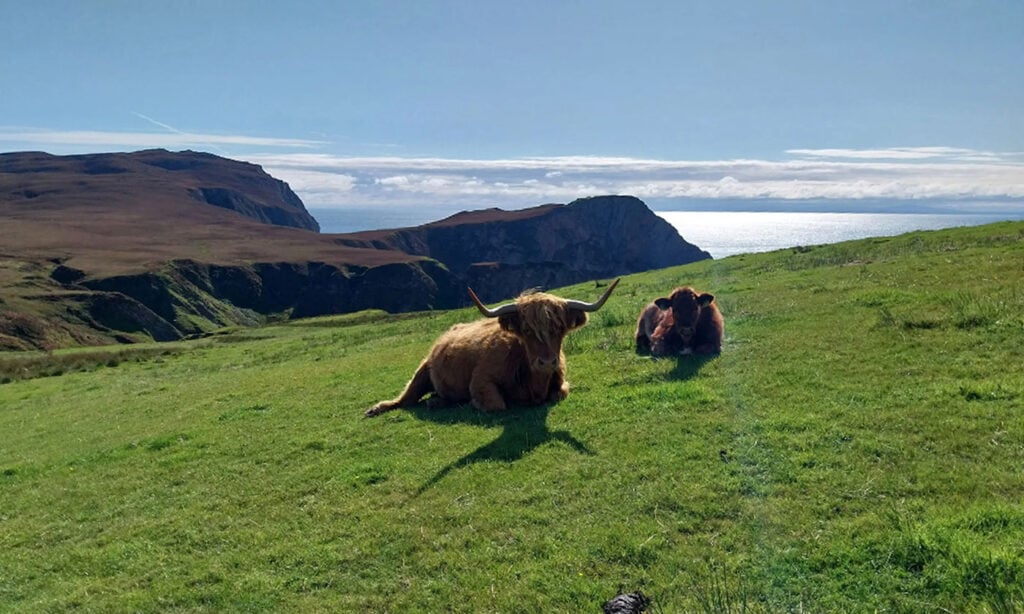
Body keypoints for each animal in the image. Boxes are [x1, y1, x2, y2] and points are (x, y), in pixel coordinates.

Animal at [365, 279, 620, 417]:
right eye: (526, 329)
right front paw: (472, 403)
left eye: (559, 328)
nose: (547, 362)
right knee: (405, 399)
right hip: (422, 370)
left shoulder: (561, 383)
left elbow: (559, 393)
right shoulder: (480, 380)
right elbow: (497, 405)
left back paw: (436, 401)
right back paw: (377, 408)